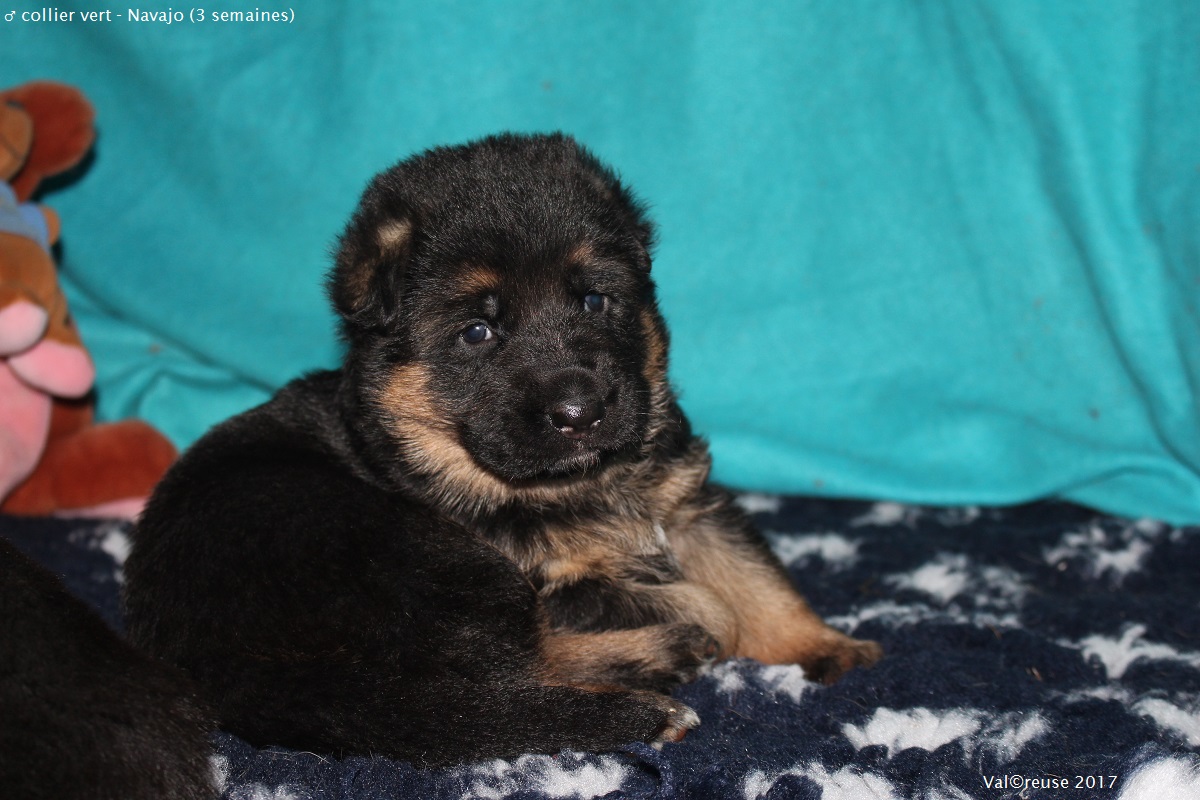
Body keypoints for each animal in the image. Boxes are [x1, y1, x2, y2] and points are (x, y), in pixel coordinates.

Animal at [123, 133, 882, 767]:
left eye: (595, 301)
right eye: (478, 332)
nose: (580, 413)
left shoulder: (689, 503)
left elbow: (756, 579)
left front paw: (827, 646)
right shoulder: (552, 581)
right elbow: (705, 599)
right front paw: (698, 619)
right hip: (416, 556)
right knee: (500, 680)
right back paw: (663, 660)